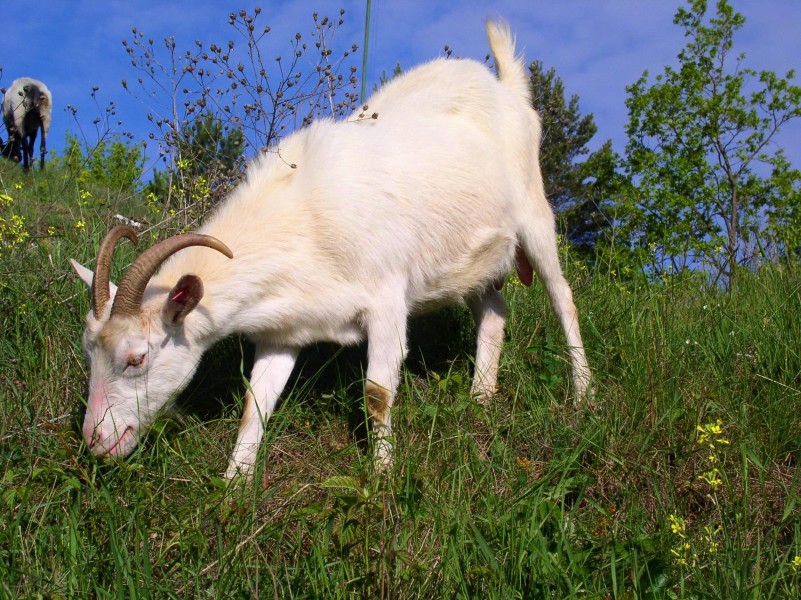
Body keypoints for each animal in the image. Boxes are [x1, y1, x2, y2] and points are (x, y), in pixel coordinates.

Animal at [72, 21, 592, 478]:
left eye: (136, 358)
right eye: (88, 352)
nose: (96, 442)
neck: (302, 217)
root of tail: (507, 87)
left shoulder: (386, 301)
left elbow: (377, 395)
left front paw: (381, 481)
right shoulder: (284, 329)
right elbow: (254, 405)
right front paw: (233, 489)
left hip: (534, 214)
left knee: (563, 297)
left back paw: (583, 394)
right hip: (472, 257)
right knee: (493, 310)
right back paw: (481, 397)